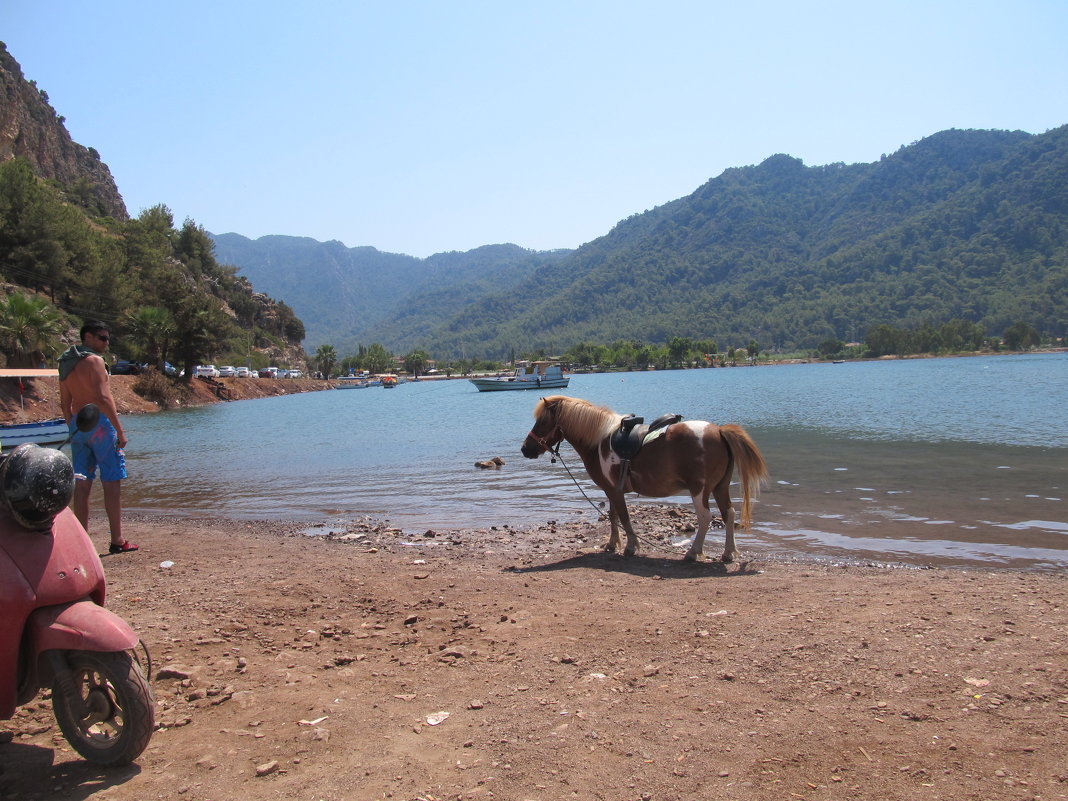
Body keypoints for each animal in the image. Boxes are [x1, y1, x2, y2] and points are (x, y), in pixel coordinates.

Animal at [519, 397, 764, 563]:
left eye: (542, 422)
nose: (525, 449)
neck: (598, 441)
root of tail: (720, 431)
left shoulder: (615, 491)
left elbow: (624, 518)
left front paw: (631, 547)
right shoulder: (611, 490)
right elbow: (613, 516)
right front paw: (612, 544)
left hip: (700, 491)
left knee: (705, 518)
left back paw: (693, 552)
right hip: (720, 488)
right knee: (728, 514)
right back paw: (728, 553)